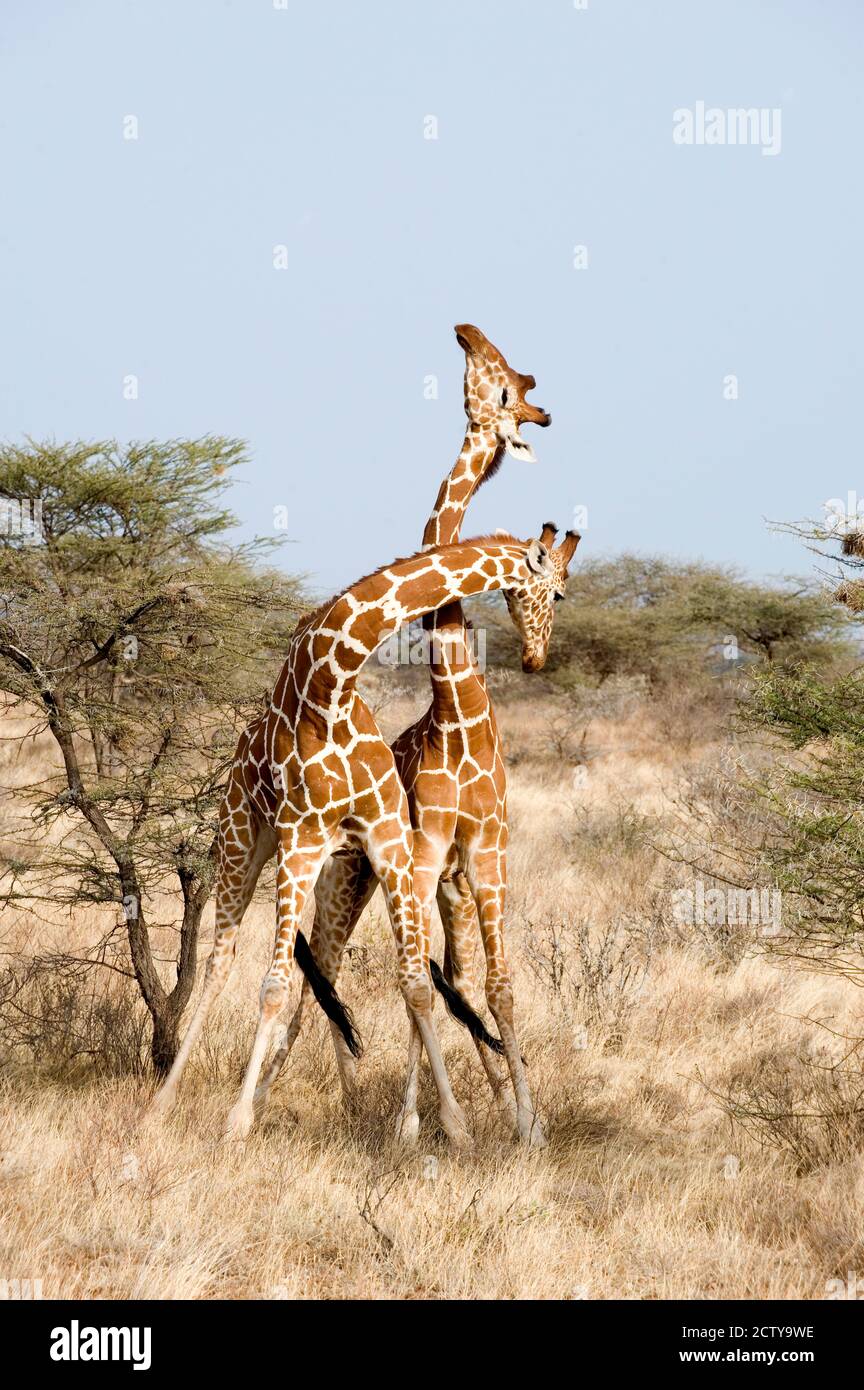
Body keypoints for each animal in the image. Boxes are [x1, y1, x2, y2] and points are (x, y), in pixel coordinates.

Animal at [148, 525, 575, 1145]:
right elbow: (272, 986)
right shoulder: (301, 838)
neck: (333, 682)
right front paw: (236, 1122)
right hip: (242, 841)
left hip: (340, 873)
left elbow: (418, 982)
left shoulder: (390, 840)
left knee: (323, 975)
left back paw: (349, 1102)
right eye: (559, 590)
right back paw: (165, 1104)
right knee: (222, 961)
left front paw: (454, 1125)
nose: (537, 658)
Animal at [256, 328, 583, 1150]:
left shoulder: (485, 854)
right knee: (331, 971)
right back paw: (300, 1099)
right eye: (505, 386)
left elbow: (495, 985)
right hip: (354, 876)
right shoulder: (428, 850)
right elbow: (422, 990)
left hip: (439, 882)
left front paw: (522, 1121)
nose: (466, 332)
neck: (457, 714)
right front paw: (420, 1121)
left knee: (451, 977)